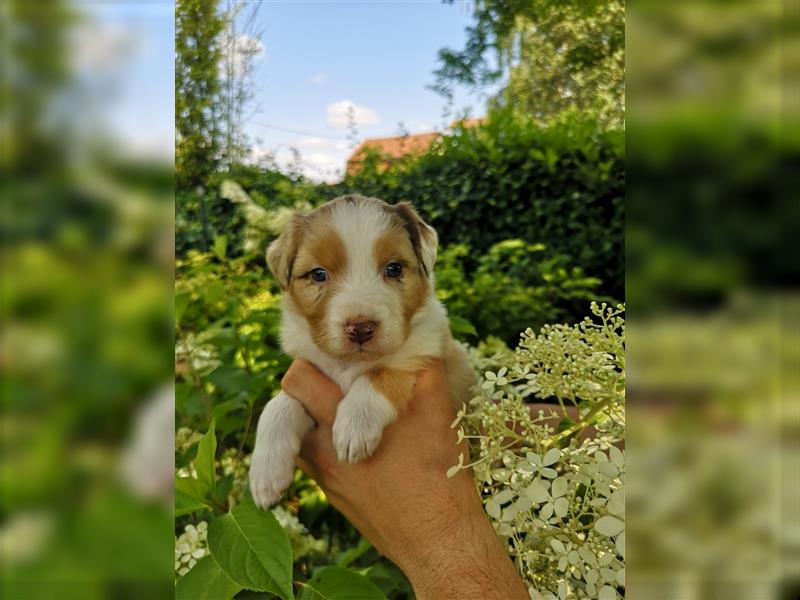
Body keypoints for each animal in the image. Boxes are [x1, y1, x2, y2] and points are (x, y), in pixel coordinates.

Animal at [250, 193, 476, 506]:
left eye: (394, 268)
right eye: (318, 274)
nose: (360, 328)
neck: (348, 364)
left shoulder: (423, 349)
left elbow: (380, 375)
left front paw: (354, 428)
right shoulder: (307, 369)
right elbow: (279, 404)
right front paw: (265, 474)